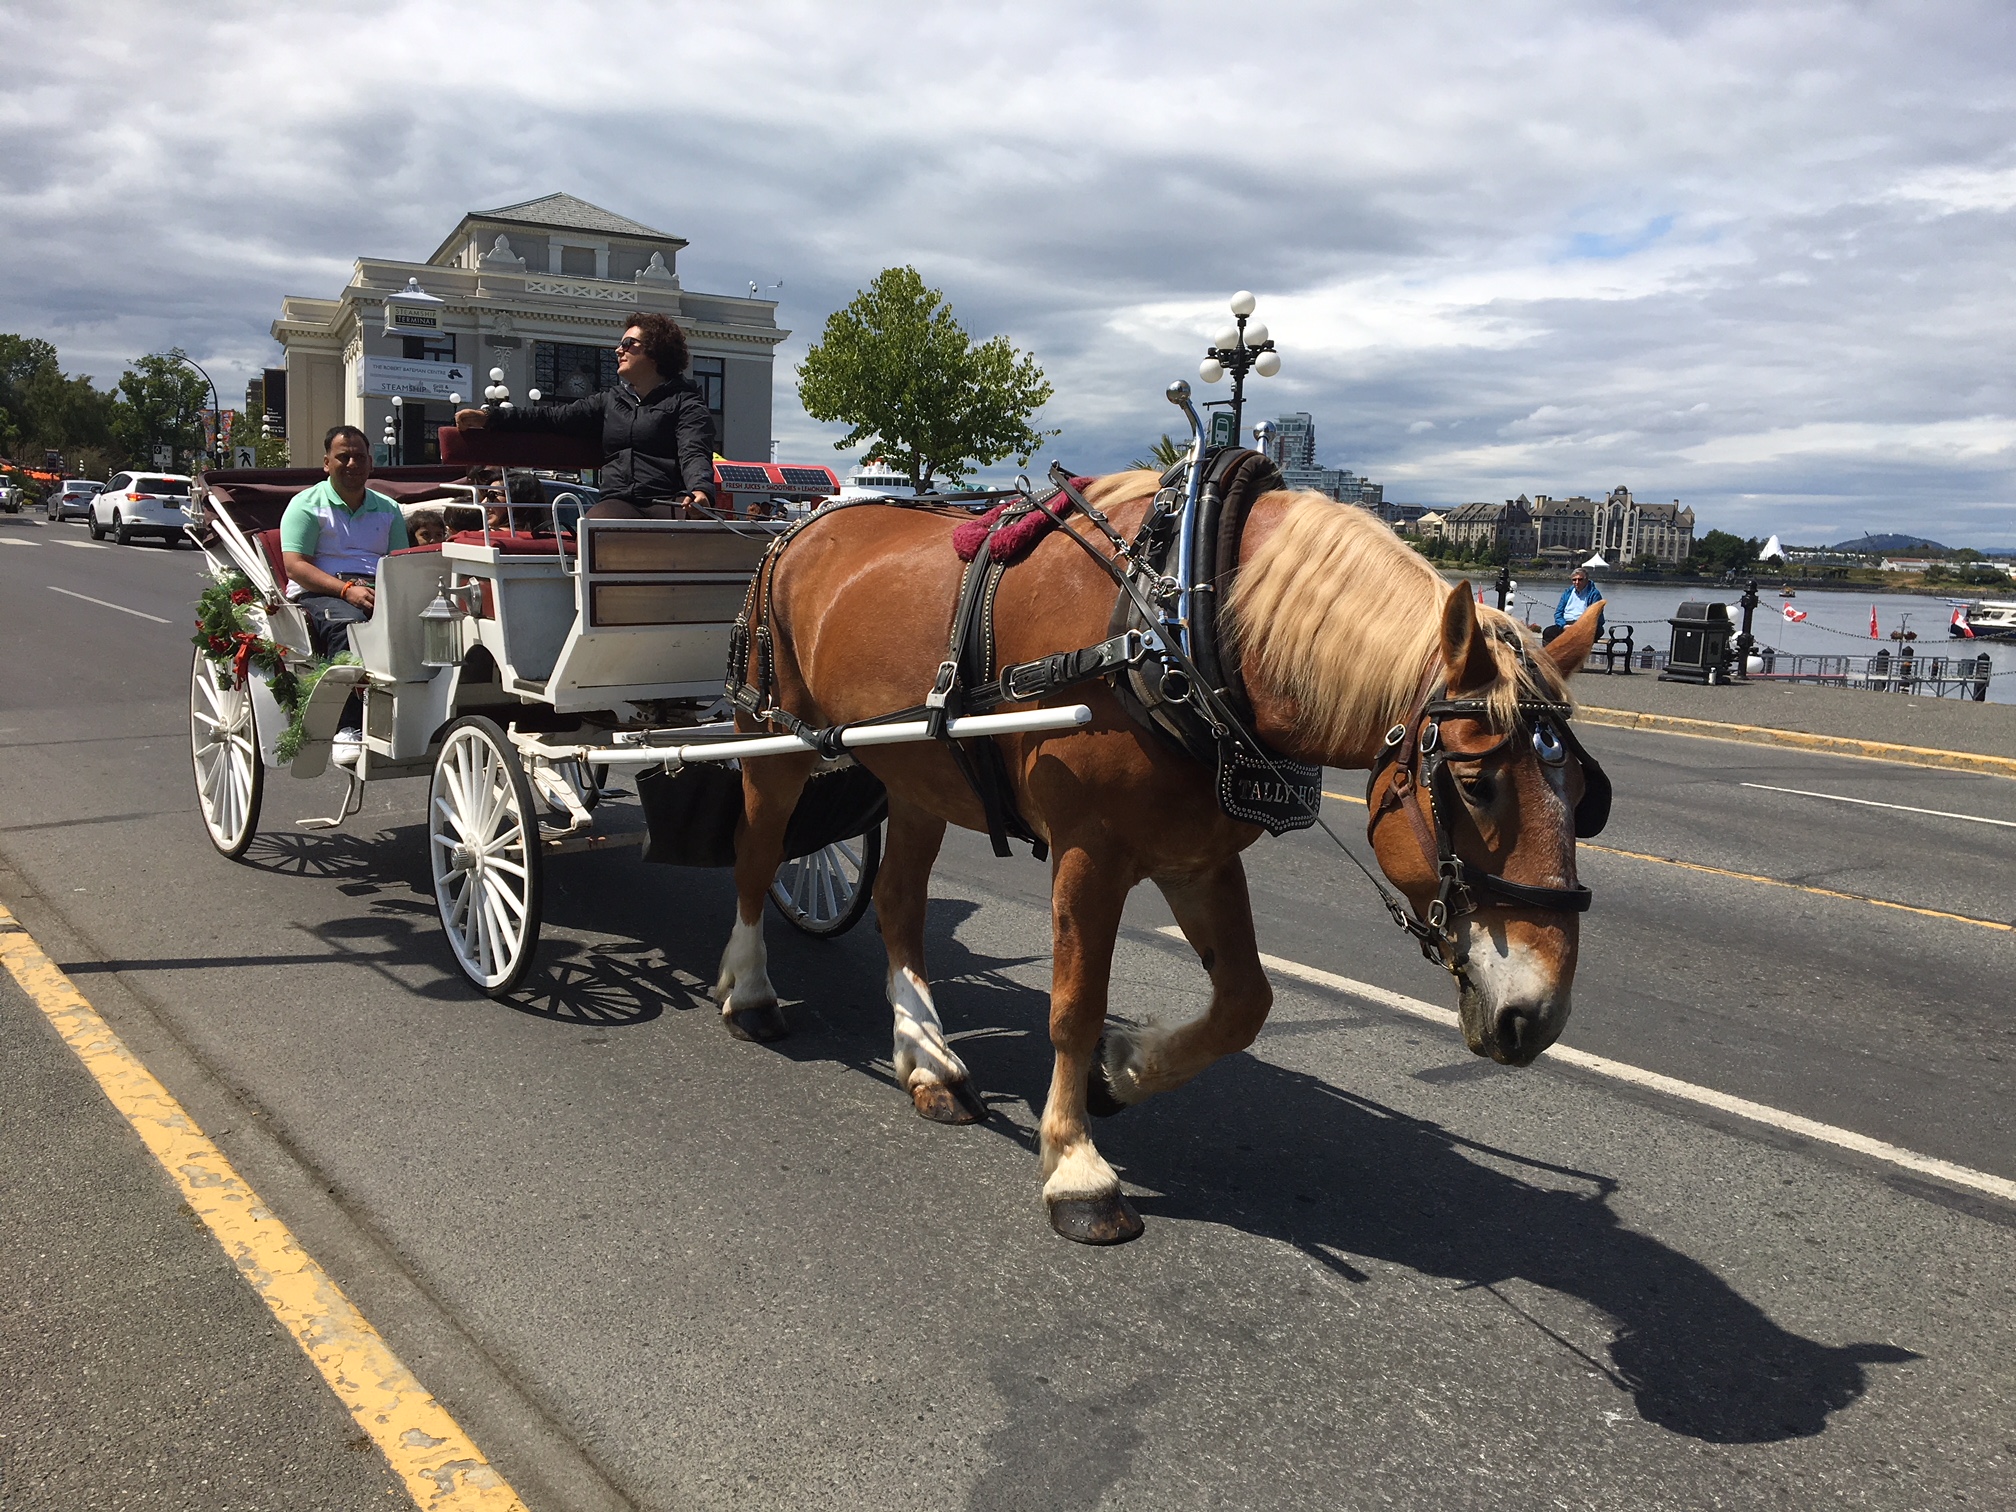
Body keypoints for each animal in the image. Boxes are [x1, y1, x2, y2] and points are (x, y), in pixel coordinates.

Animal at [709, 473, 1604, 1241]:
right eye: (1476, 782)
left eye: (1586, 798)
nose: (1536, 1018)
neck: (1181, 628)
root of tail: (797, 527)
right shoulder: (1089, 850)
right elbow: (1073, 1006)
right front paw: (1076, 1167)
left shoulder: (1195, 856)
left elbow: (1246, 1002)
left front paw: (1123, 1070)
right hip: (772, 738)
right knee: (756, 858)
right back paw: (750, 993)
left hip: (918, 774)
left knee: (898, 903)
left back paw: (928, 1061)